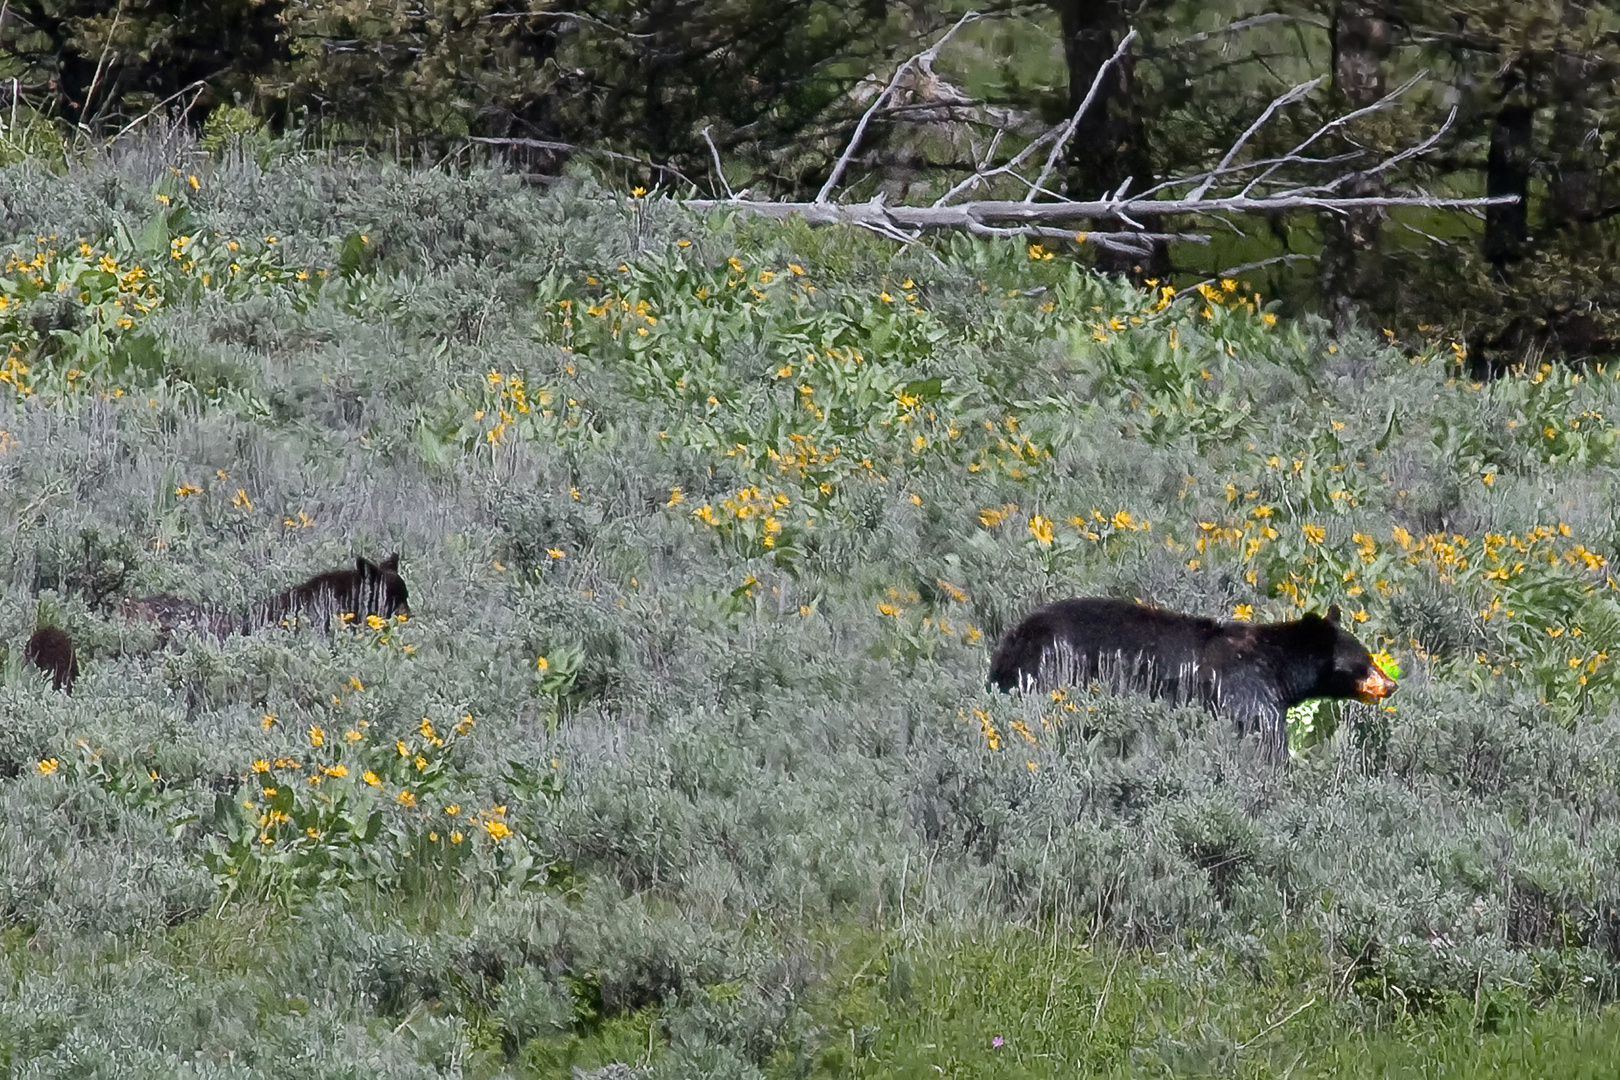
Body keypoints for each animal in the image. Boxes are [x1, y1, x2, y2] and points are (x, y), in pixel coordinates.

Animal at [984, 599, 1393, 761]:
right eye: (1365, 661)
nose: (1391, 684)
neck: (1276, 664)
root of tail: (1012, 641)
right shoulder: (1245, 689)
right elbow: (1265, 736)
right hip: (1051, 669)